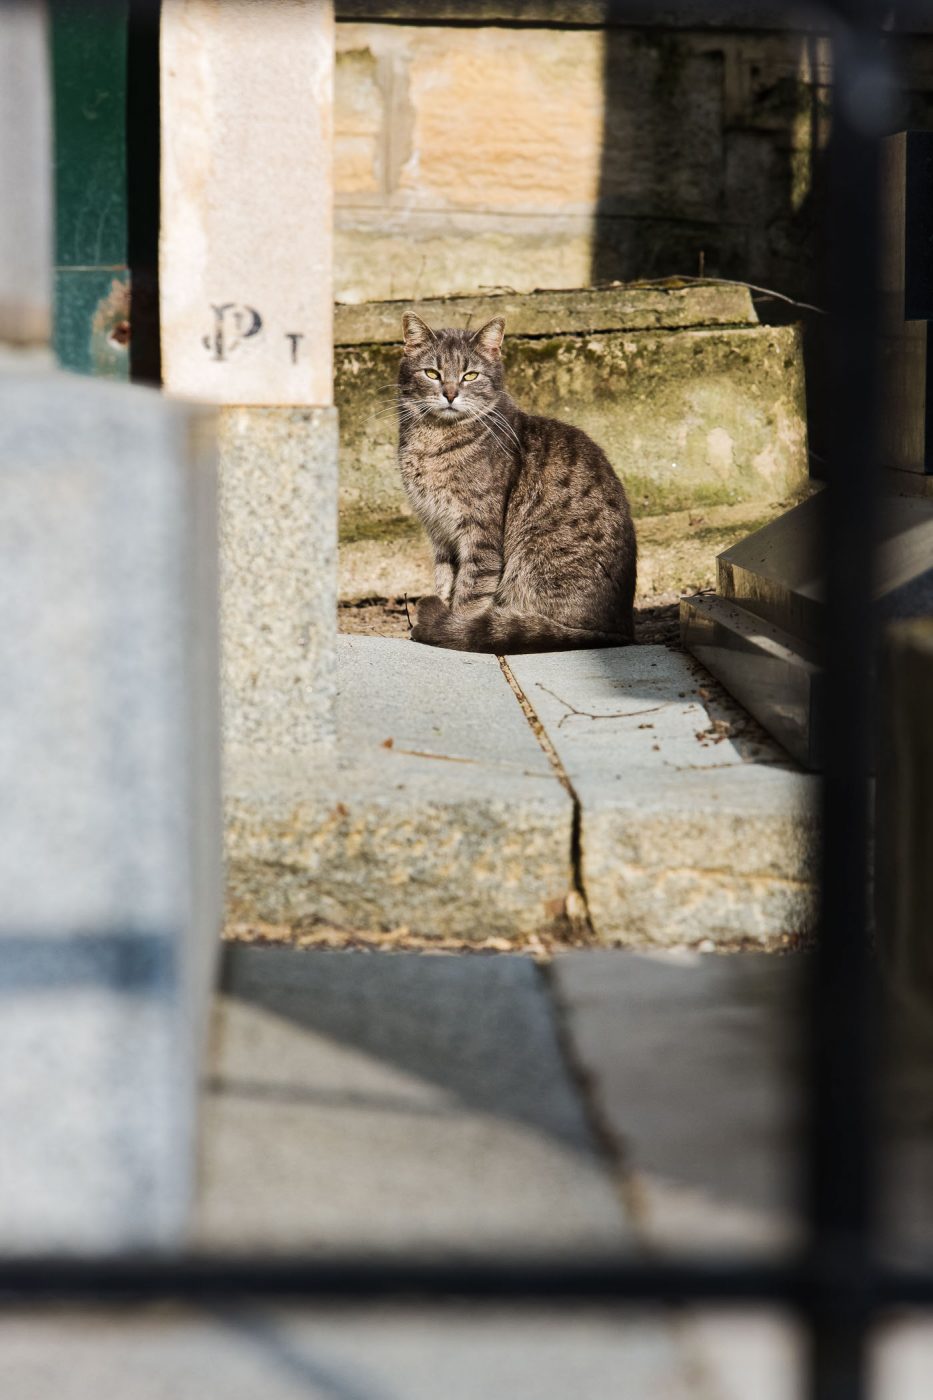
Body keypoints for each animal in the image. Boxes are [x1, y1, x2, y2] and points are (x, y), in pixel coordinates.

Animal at [395, 312, 636, 649]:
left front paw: (453, 626)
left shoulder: (479, 532)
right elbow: (444, 581)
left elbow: (470, 592)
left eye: (470, 376)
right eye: (432, 373)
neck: (434, 440)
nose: (450, 394)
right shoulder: (439, 531)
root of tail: (622, 631)